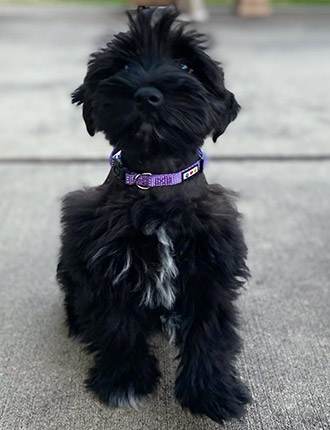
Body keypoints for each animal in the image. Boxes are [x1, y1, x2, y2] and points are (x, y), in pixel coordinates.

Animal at [57, 5, 250, 424]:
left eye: (186, 65)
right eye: (125, 65)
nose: (146, 94)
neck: (157, 184)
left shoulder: (211, 269)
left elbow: (209, 333)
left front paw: (212, 391)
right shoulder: (107, 266)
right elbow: (118, 325)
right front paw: (123, 379)